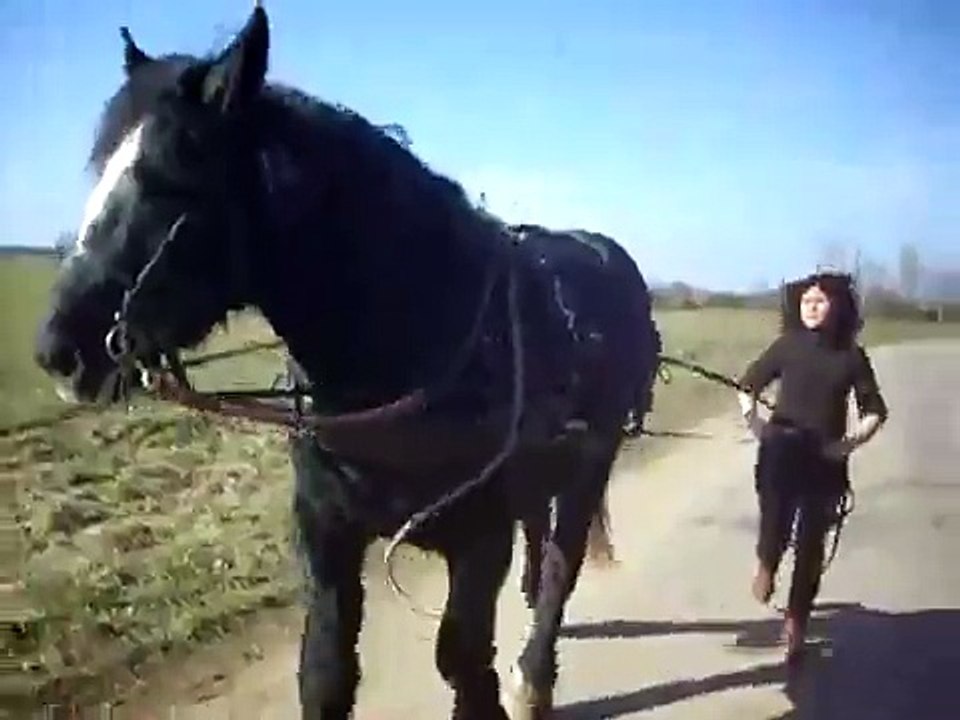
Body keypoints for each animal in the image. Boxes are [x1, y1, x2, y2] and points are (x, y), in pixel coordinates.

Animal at [33, 7, 662, 719]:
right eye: (100, 168)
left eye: (172, 177)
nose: (59, 350)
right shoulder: (328, 537)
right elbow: (326, 671)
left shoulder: (479, 538)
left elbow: (462, 657)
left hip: (590, 464)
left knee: (562, 561)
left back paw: (535, 672)